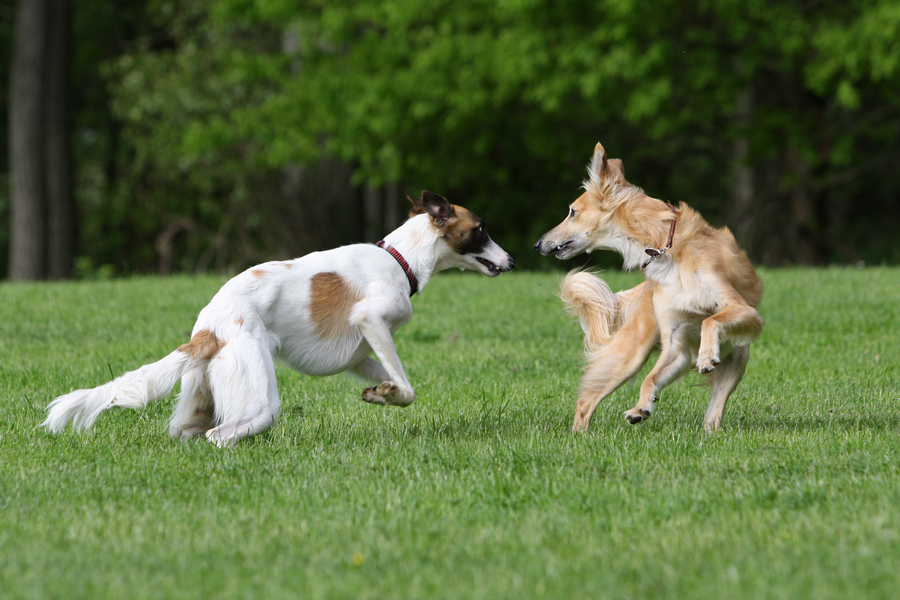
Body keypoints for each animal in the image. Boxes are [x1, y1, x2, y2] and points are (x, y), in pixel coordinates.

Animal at [44, 192, 512, 446]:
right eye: (481, 229)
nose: (511, 260)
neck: (401, 259)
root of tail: (208, 330)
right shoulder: (371, 318)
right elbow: (409, 387)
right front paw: (389, 393)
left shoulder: (359, 354)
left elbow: (394, 382)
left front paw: (381, 393)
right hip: (258, 395)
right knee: (222, 435)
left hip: (197, 400)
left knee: (188, 432)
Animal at [536, 142, 764, 428]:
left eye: (572, 212)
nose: (538, 244)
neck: (665, 248)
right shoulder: (675, 340)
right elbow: (650, 378)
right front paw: (642, 406)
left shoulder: (745, 310)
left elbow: (710, 321)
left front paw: (705, 355)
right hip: (630, 354)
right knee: (585, 402)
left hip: (737, 359)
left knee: (713, 411)